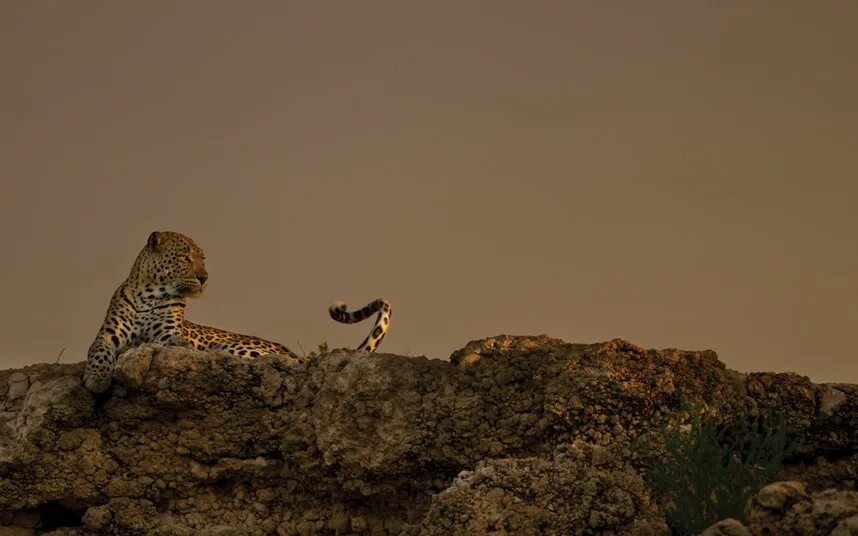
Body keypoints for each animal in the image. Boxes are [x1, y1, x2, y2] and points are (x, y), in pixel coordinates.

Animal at [82, 231, 390, 394]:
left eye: (202, 259)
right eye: (184, 258)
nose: (204, 277)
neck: (150, 294)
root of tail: (298, 356)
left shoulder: (170, 336)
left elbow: (163, 342)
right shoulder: (107, 335)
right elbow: (99, 351)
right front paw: (97, 379)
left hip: (239, 348)